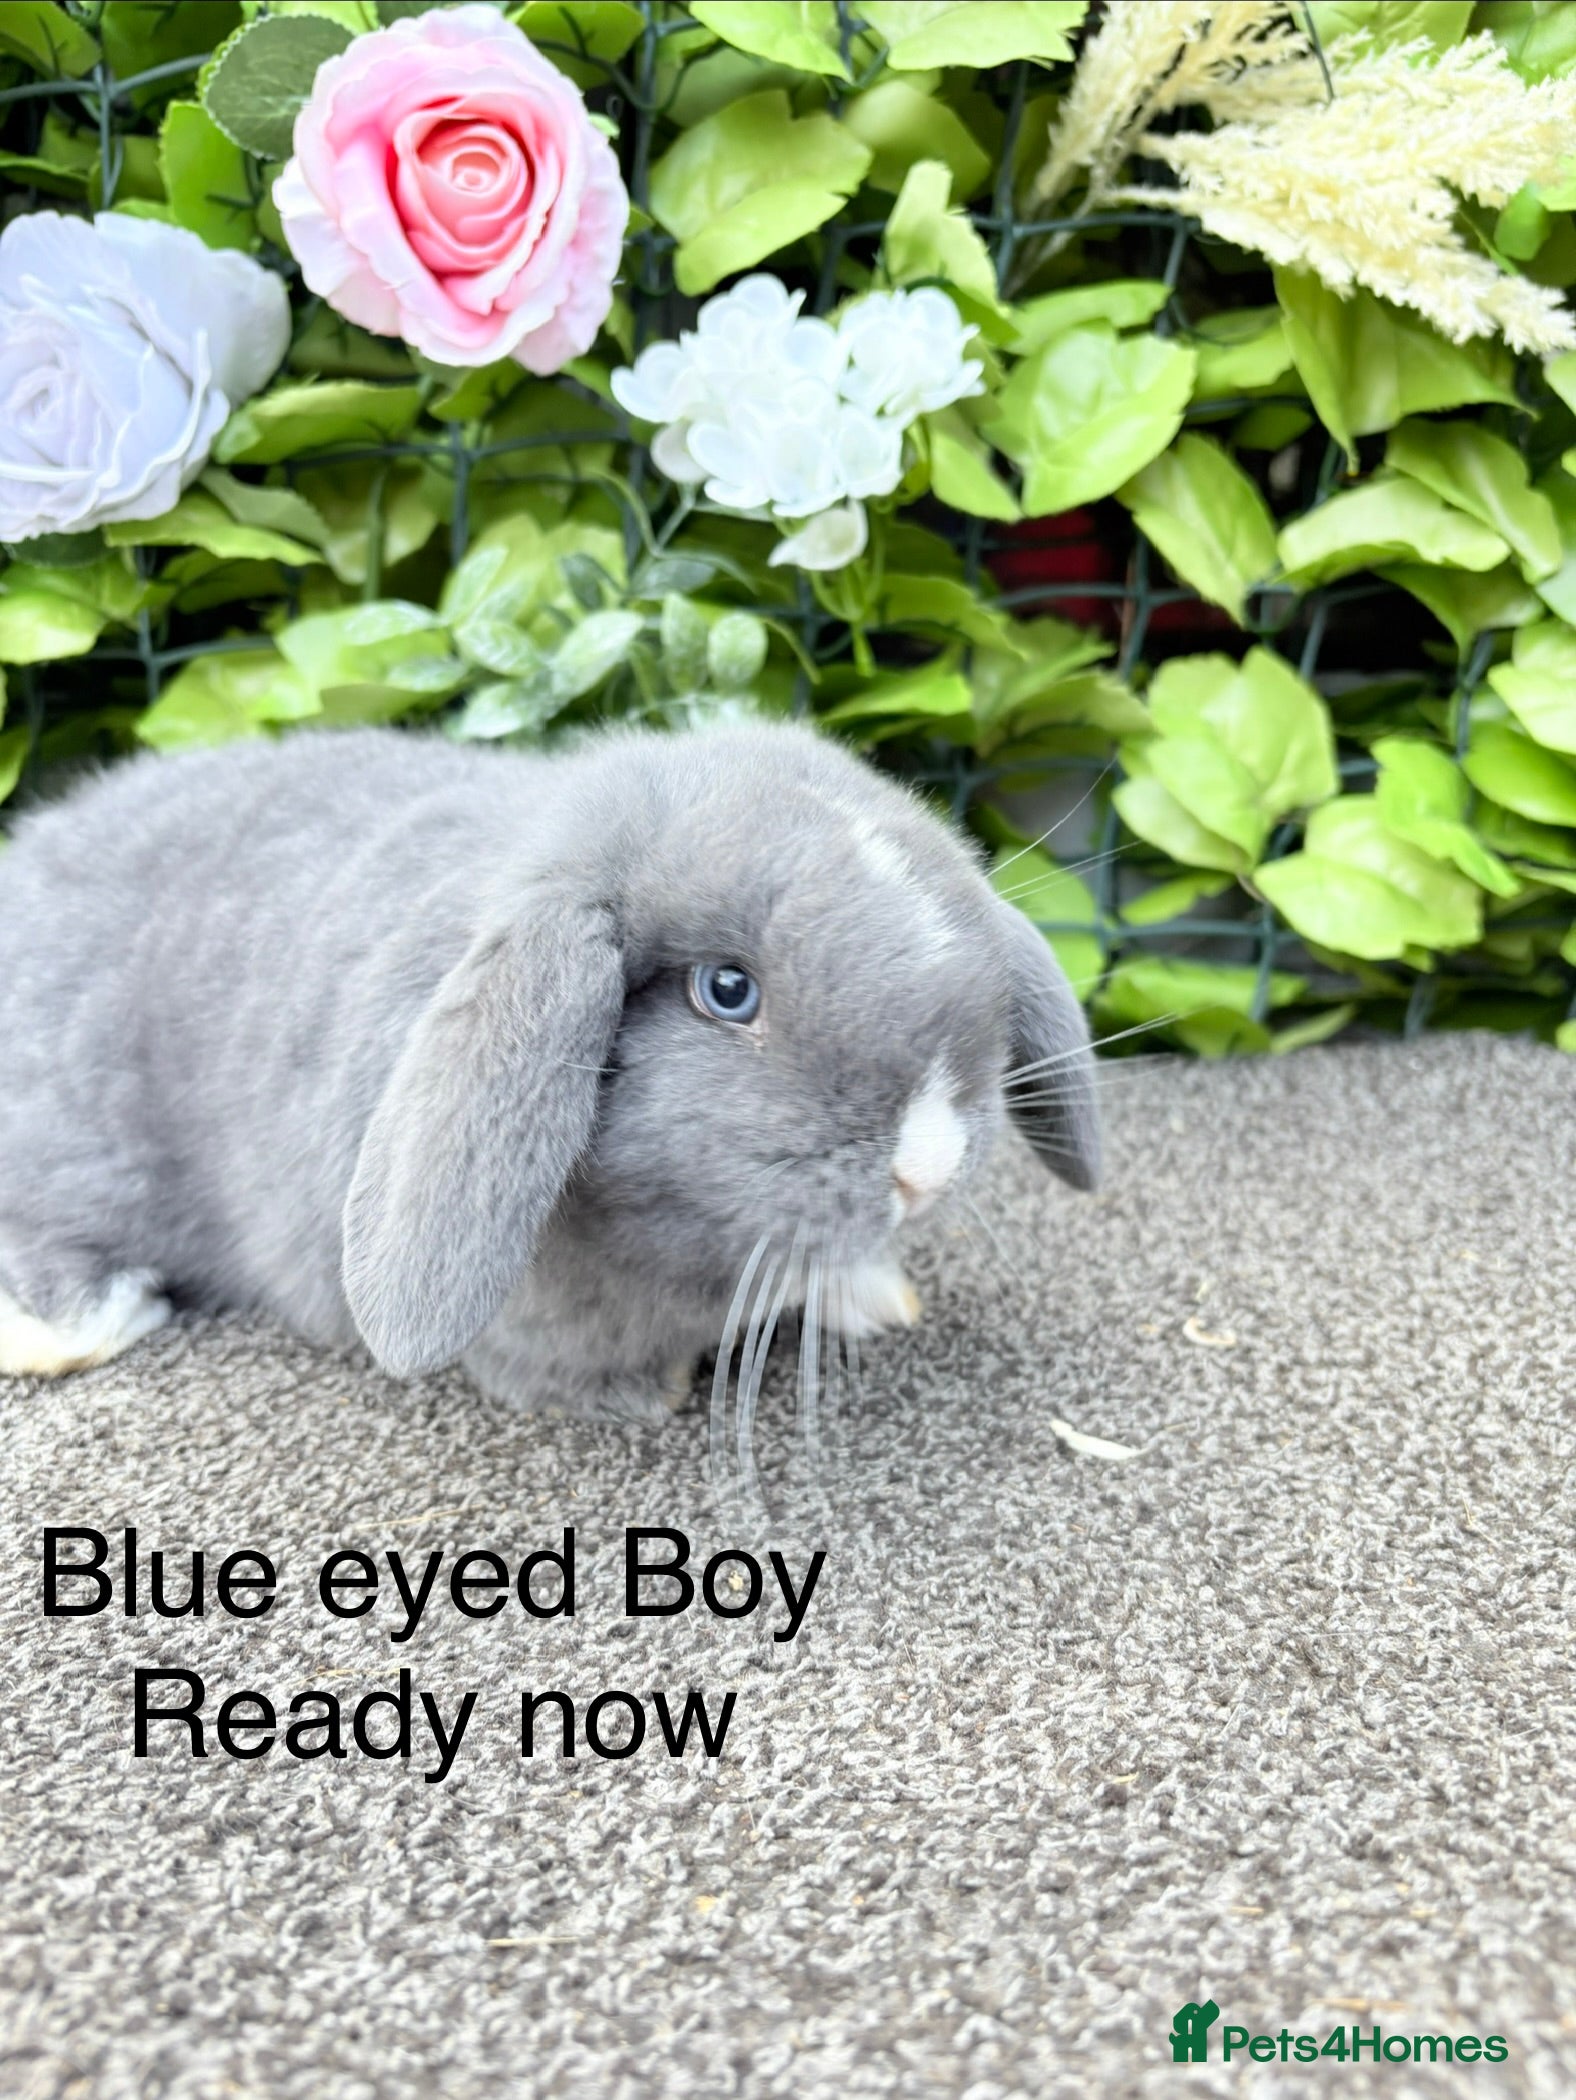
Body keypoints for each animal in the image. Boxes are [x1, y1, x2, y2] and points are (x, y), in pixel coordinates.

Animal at [0, 720, 1098, 1419]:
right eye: (726, 990)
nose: (929, 1166)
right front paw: (646, 1397)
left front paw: (873, 1296)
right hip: (79, 1143)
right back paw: (60, 1334)